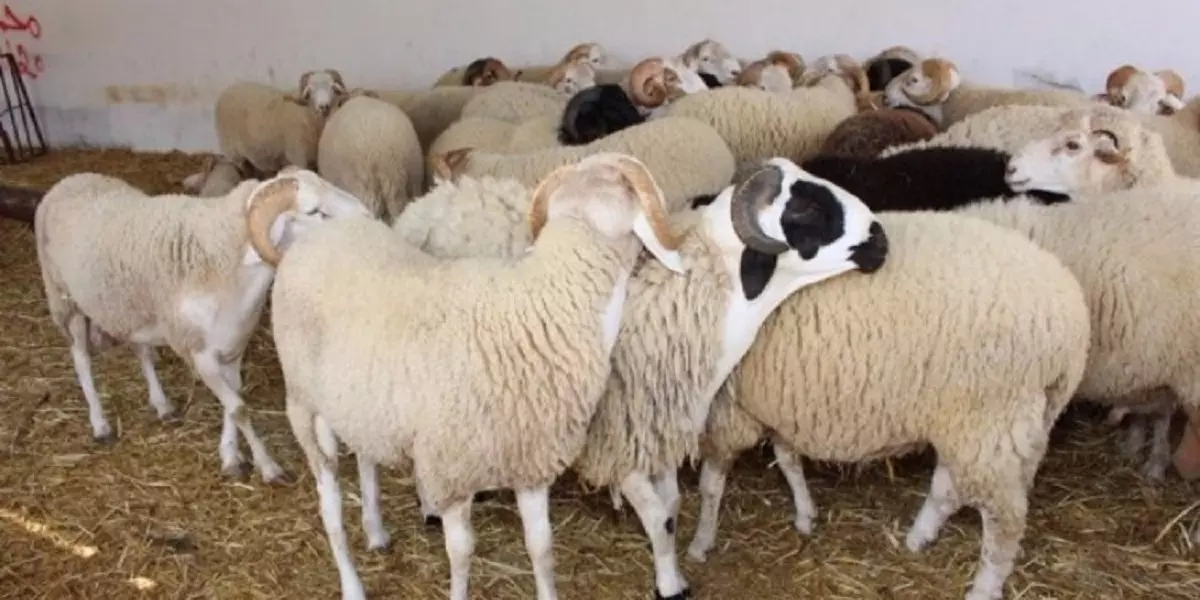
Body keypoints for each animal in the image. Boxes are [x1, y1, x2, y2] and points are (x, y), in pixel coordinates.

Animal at [33, 168, 372, 482]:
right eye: (314, 211)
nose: (369, 217)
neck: (224, 263)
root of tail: (70, 179)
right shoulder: (199, 353)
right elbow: (238, 408)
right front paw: (268, 466)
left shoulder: (233, 347)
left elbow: (233, 402)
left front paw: (231, 456)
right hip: (64, 300)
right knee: (82, 360)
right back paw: (100, 424)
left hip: (130, 309)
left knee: (140, 350)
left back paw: (162, 404)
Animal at [214, 70, 347, 175]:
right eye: (309, 92)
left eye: (333, 88)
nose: (324, 106)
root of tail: (226, 91)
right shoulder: (298, 157)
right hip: (234, 153)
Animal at [267, 152, 691, 600]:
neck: (545, 310)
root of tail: (316, 238)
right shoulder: (453, 470)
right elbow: (462, 553)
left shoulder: (531, 463)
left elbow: (542, 548)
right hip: (302, 405)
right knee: (329, 505)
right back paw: (351, 583)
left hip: (358, 405)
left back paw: (376, 532)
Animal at [688, 209, 1091, 600]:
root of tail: (1073, 320)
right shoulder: (778, 405)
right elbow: (787, 459)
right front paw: (804, 515)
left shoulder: (725, 413)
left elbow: (711, 485)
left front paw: (700, 542)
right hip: (979, 421)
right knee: (949, 486)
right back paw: (918, 537)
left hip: (990, 419)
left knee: (1005, 518)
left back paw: (983, 588)